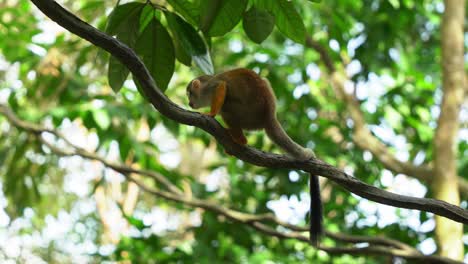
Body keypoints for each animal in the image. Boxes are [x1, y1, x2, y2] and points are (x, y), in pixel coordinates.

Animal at [186, 68, 322, 245]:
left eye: (190, 93)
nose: (189, 102)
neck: (204, 91)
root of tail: (269, 115)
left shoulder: (211, 86)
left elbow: (222, 86)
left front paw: (211, 113)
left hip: (247, 113)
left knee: (227, 107)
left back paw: (238, 139)